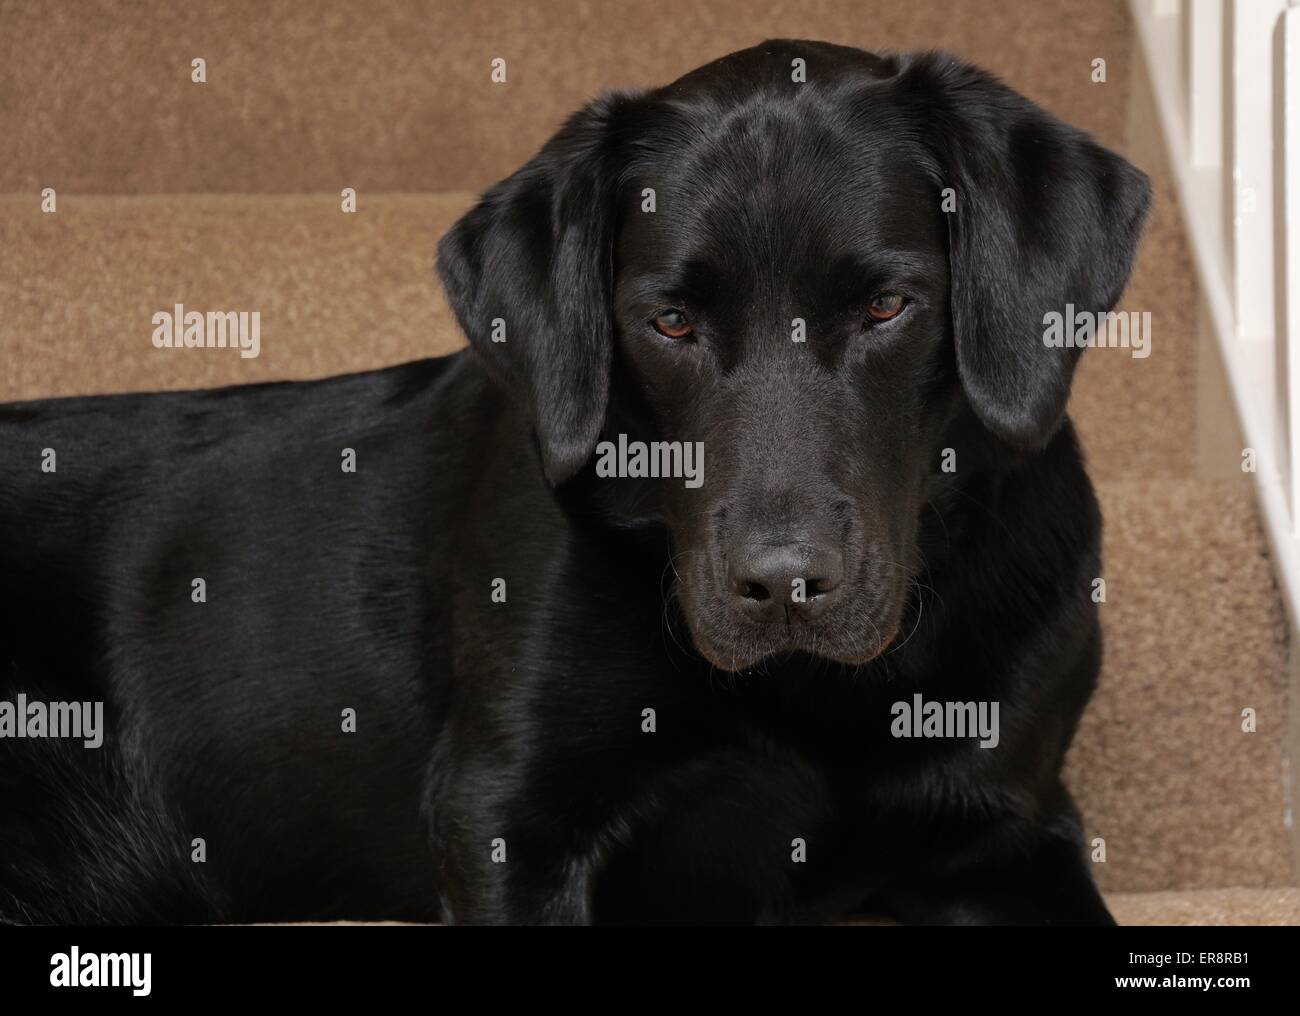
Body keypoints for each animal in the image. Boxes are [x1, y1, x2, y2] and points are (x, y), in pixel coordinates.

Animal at [2, 43, 1149, 925]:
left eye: (886, 307)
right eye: (670, 321)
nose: (781, 587)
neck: (805, 690)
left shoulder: (1006, 829)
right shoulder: (508, 817)